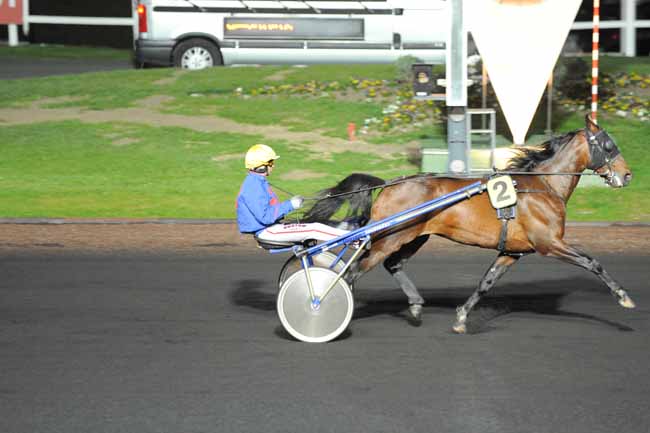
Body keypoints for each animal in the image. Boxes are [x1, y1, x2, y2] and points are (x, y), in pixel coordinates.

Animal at [302, 115, 632, 330]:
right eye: (608, 145)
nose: (627, 175)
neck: (543, 186)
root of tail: (391, 183)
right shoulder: (549, 243)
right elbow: (592, 262)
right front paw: (624, 297)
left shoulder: (512, 251)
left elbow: (486, 282)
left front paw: (461, 318)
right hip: (390, 237)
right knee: (353, 272)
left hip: (414, 236)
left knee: (392, 264)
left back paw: (416, 305)